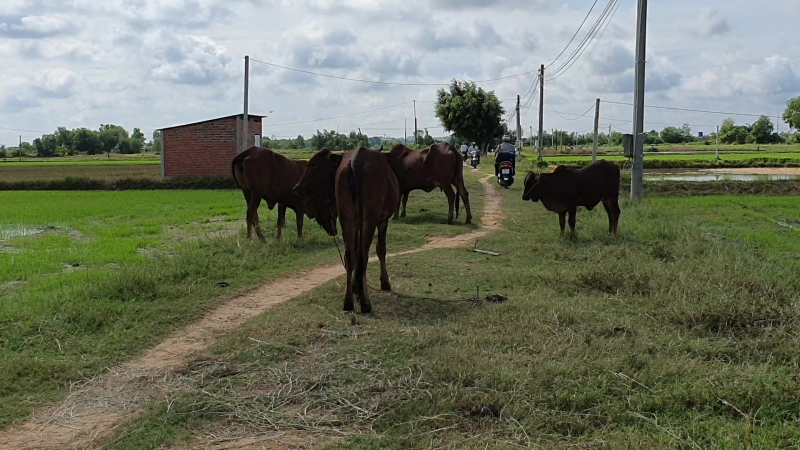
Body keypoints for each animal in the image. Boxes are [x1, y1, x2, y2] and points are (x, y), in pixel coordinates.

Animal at [294, 147, 400, 312]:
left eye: (313, 164)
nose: (296, 187)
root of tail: (356, 159)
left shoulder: (356, 224)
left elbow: (356, 251)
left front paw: (356, 287)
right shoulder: (382, 221)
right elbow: (381, 250)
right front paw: (384, 283)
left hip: (346, 219)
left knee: (350, 256)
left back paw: (349, 301)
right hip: (368, 220)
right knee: (363, 257)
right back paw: (365, 303)